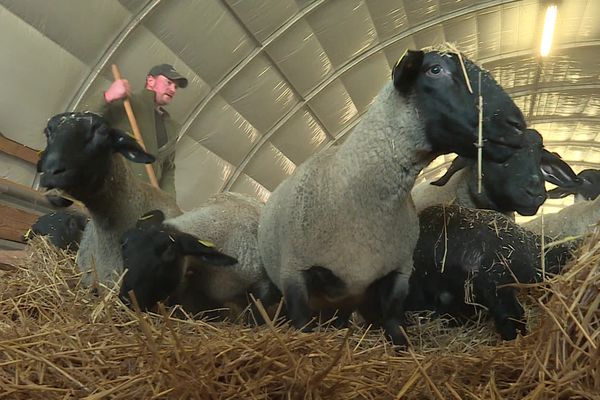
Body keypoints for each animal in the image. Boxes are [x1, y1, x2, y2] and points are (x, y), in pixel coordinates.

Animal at [255, 47, 528, 346]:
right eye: (435, 70)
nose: (518, 125)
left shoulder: (398, 274)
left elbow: (395, 326)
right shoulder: (295, 275)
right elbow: (303, 326)